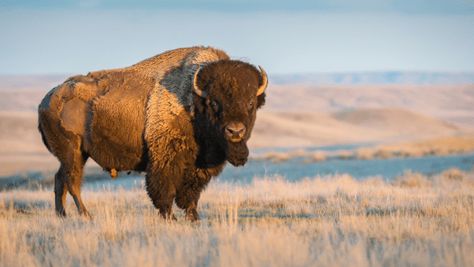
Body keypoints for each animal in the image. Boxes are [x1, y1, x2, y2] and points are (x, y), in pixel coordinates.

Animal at [37, 46, 266, 222]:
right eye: (214, 102)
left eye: (251, 103)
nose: (235, 131)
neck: (193, 99)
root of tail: (46, 100)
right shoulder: (164, 158)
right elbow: (164, 190)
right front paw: (170, 218)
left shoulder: (198, 167)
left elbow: (190, 194)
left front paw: (194, 218)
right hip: (73, 152)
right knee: (72, 182)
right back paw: (86, 215)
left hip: (76, 155)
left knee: (60, 180)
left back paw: (62, 215)